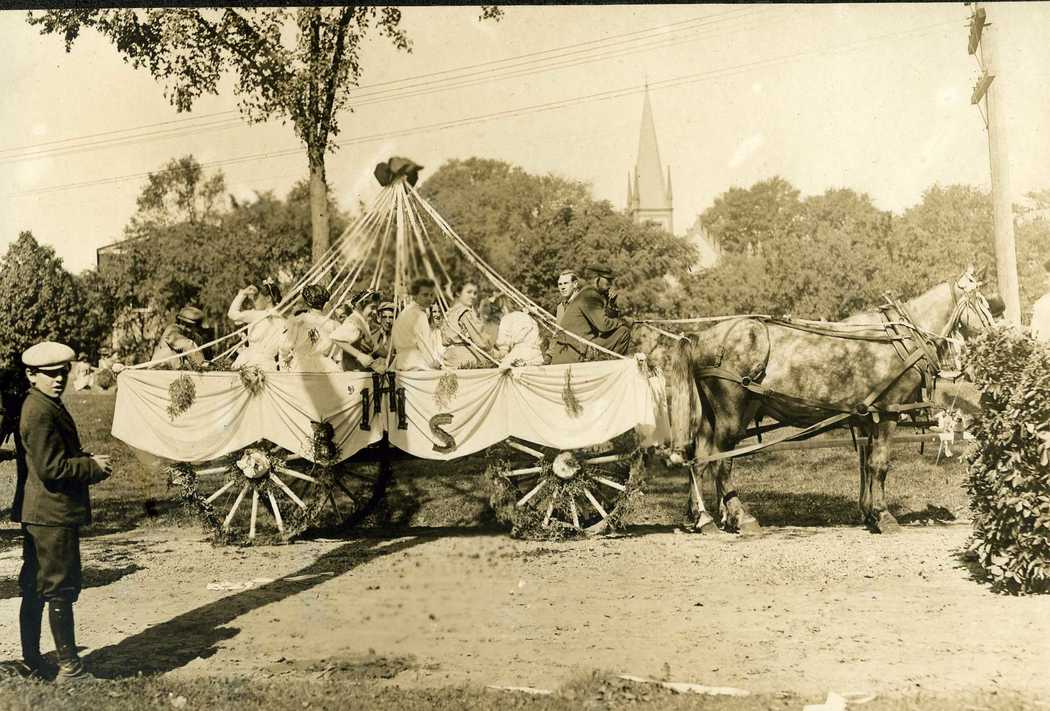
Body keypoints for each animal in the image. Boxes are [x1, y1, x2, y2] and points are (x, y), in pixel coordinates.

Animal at [659, 268, 995, 535]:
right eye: (983, 304)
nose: (996, 335)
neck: (899, 338)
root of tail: (701, 338)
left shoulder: (867, 417)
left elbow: (867, 466)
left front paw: (870, 513)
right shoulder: (887, 413)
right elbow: (880, 465)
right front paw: (885, 516)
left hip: (712, 416)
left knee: (701, 458)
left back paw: (704, 518)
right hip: (731, 413)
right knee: (721, 461)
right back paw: (742, 517)